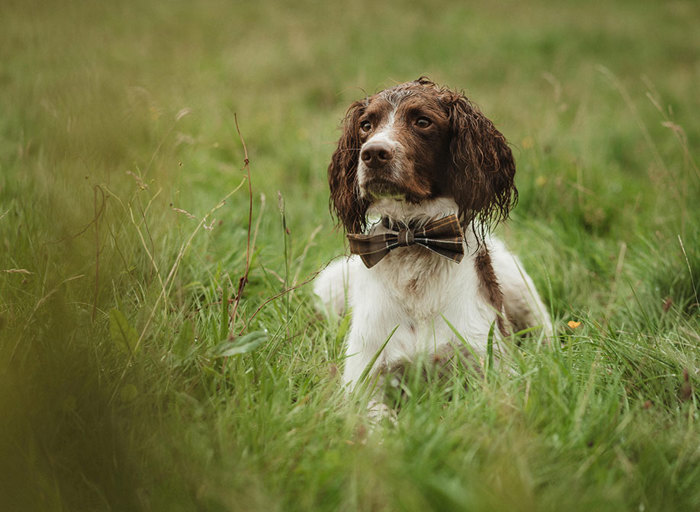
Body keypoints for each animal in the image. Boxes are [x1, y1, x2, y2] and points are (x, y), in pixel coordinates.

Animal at [314, 77, 552, 396]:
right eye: (366, 125)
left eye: (422, 122)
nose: (373, 153)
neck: (414, 236)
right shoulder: (362, 378)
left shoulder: (492, 366)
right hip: (330, 285)